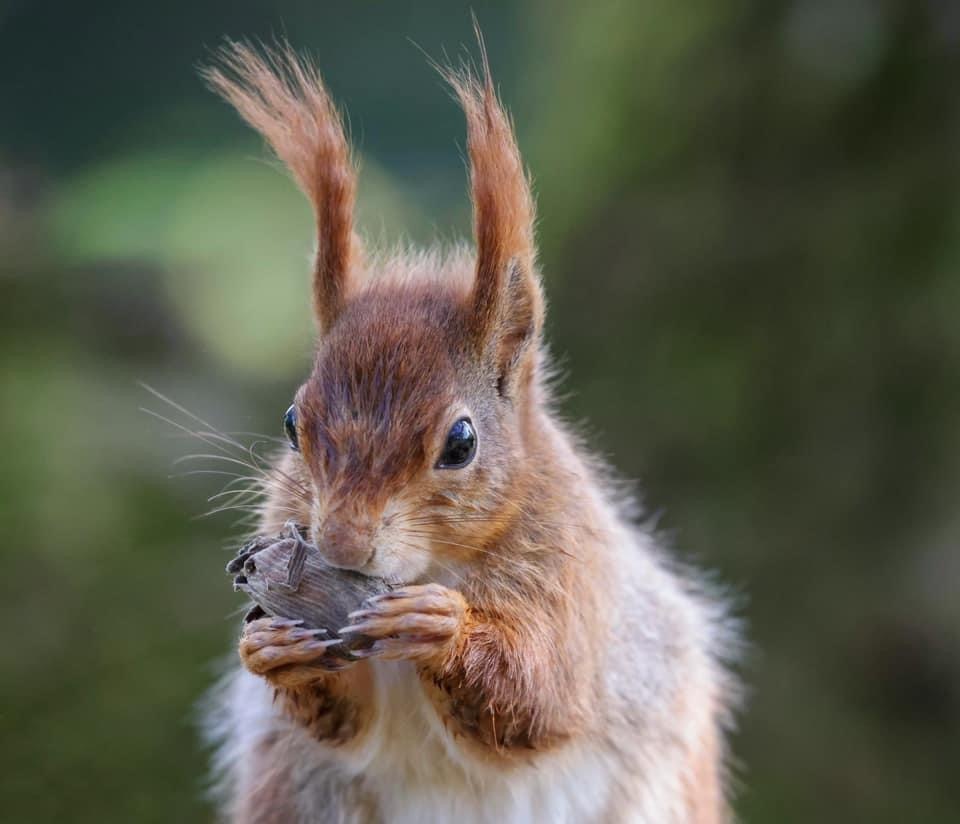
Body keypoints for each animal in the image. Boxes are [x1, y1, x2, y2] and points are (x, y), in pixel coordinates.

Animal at [201, 38, 739, 824]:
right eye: (292, 422)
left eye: (461, 443)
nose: (342, 545)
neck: (427, 565)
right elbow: (342, 721)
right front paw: (273, 651)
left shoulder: (572, 580)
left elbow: (541, 699)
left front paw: (441, 626)